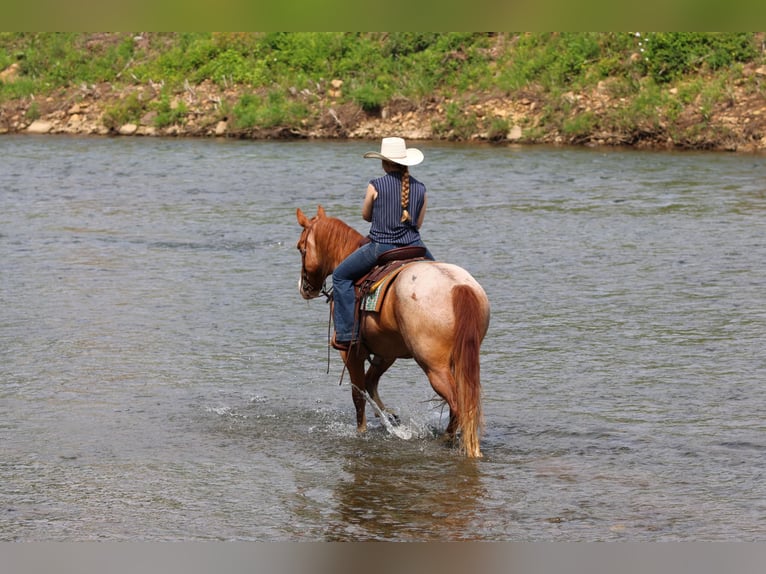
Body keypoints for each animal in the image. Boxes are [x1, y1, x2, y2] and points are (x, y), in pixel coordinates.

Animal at [296, 205, 490, 458]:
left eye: (301, 248)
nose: (305, 288)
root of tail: (458, 286)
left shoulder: (350, 351)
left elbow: (358, 393)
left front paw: (362, 431)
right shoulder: (386, 352)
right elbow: (370, 382)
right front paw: (389, 417)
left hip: (433, 366)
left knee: (457, 405)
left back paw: (447, 440)